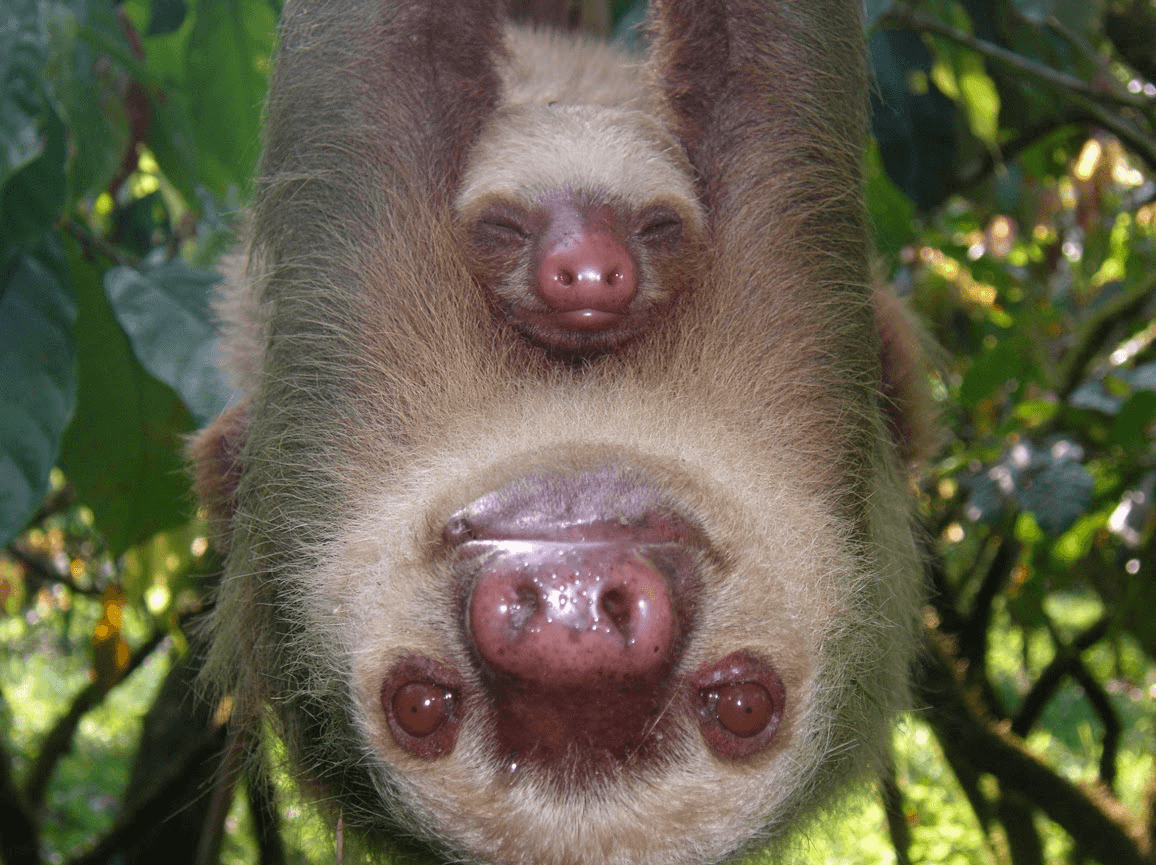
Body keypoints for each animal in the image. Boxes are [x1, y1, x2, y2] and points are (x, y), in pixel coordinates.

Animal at [190, 1, 927, 863]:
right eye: (421, 704)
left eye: (744, 704)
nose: (570, 622)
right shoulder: (339, 430)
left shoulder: (802, 386)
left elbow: (764, 73)